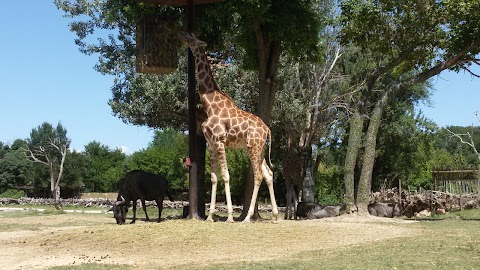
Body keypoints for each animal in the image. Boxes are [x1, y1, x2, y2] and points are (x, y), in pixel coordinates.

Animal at [178, 31, 280, 223]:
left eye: (193, 38)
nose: (182, 34)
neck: (209, 105)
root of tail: (267, 130)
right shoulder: (211, 144)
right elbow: (213, 178)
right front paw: (210, 216)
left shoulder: (219, 141)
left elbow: (226, 176)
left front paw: (230, 216)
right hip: (260, 149)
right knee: (269, 174)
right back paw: (275, 216)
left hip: (253, 147)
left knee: (259, 175)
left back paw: (247, 217)